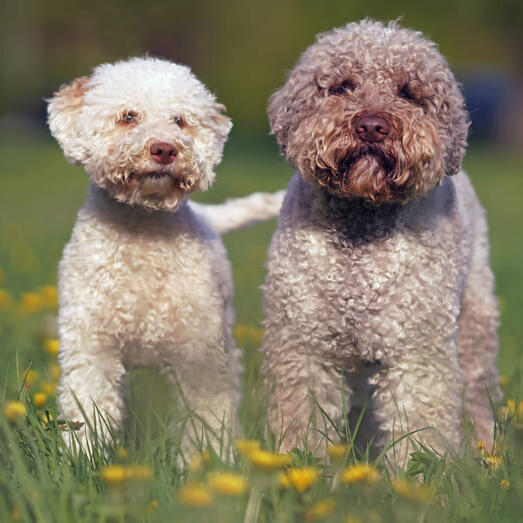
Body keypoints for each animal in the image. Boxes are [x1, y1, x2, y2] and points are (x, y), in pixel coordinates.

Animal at [49, 57, 284, 454]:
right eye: (128, 116)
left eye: (180, 120)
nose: (164, 149)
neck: (143, 233)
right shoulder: (92, 343)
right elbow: (88, 408)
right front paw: (82, 456)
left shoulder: (199, 352)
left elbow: (208, 416)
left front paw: (211, 460)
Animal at [264, 20, 502, 464]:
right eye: (341, 86)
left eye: (408, 92)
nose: (373, 125)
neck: (361, 230)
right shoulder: (304, 345)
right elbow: (304, 420)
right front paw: (299, 465)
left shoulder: (416, 349)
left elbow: (419, 425)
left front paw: (417, 475)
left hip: (473, 326)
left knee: (479, 397)